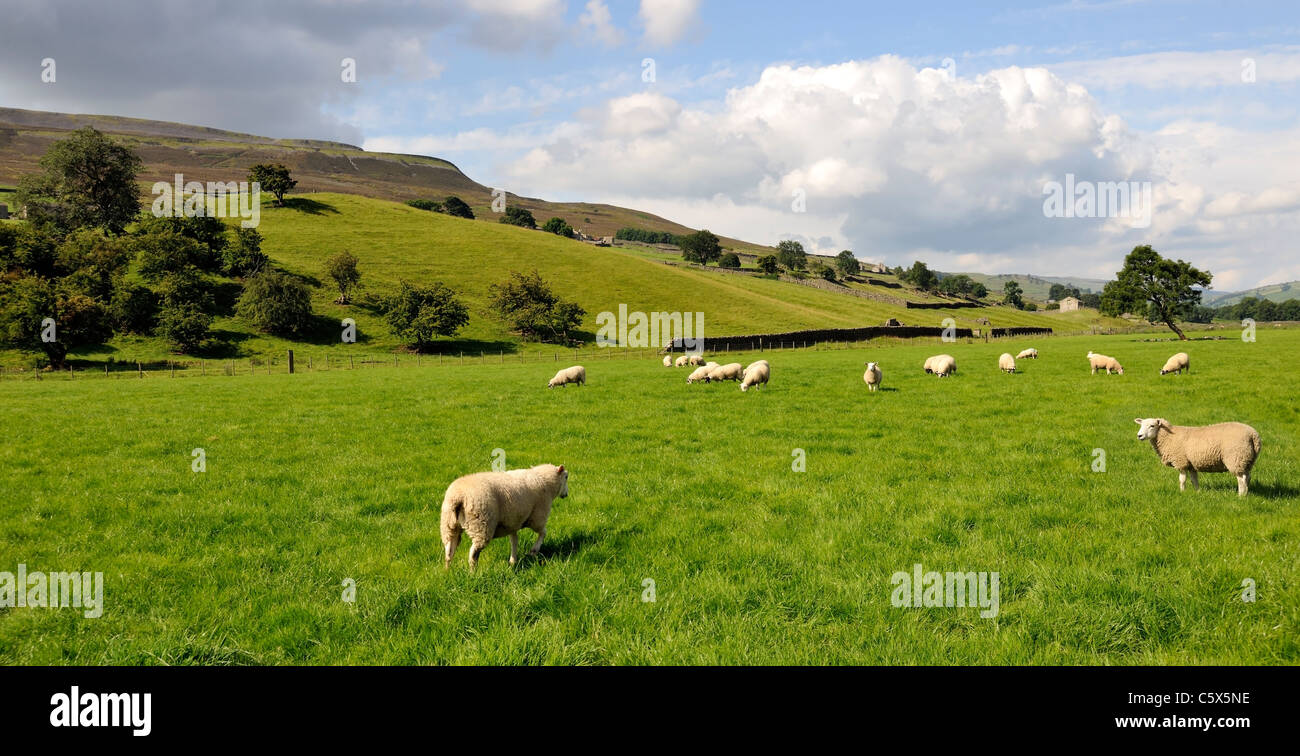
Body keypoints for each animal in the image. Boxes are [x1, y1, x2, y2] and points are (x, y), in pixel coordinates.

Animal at [440, 463, 568, 569]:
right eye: (566, 477)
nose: (566, 495)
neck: (545, 481)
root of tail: (458, 496)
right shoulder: (537, 517)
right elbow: (543, 533)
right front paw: (533, 551)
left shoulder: (513, 522)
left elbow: (514, 541)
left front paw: (513, 561)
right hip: (482, 526)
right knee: (473, 554)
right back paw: (473, 573)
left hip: (449, 525)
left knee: (449, 551)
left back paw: (448, 571)